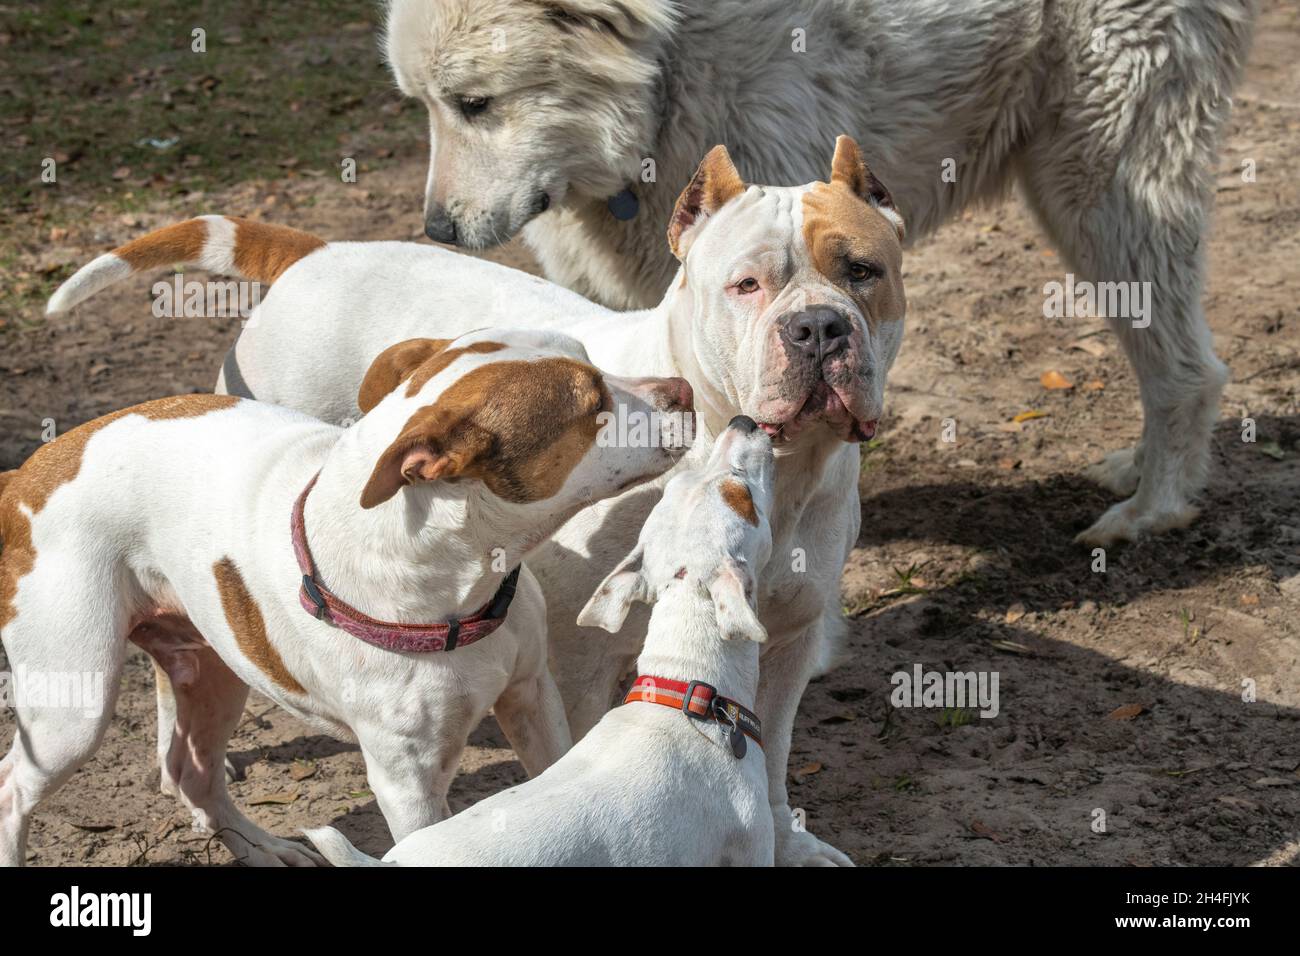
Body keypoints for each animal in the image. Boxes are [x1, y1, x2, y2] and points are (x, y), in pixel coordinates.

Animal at [0, 329, 691, 868]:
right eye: (593, 403)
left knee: (194, 774)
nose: (683, 391)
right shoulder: (406, 783)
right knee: (14, 789)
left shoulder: (530, 694)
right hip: (74, 707)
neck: (451, 574)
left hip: (215, 671)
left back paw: (262, 847)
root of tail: (27, 473)